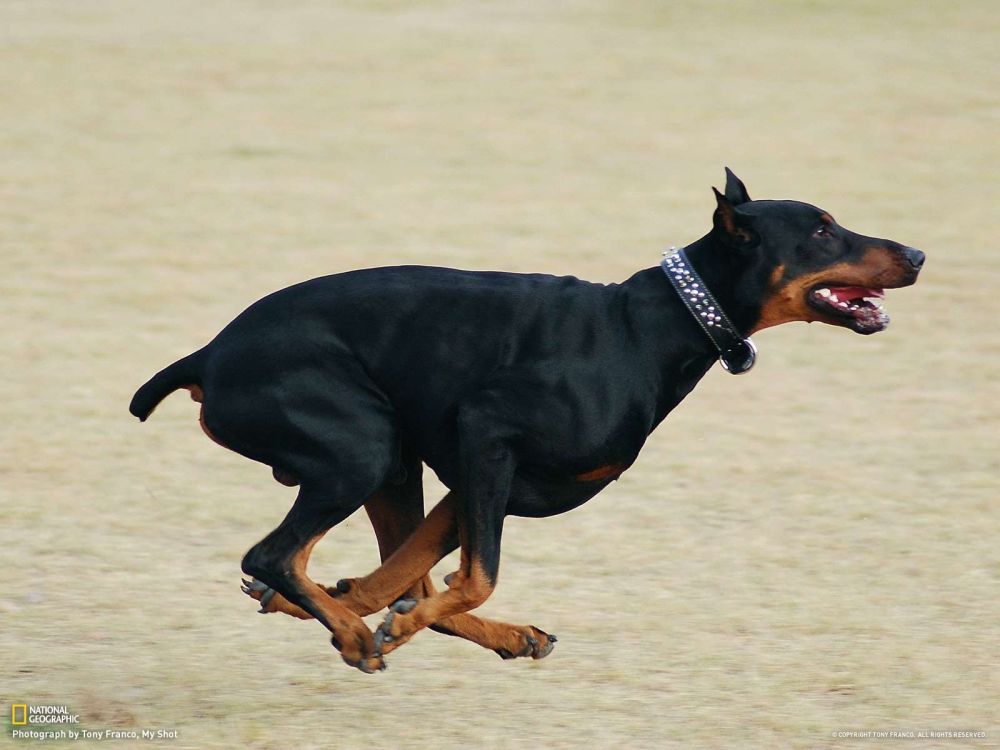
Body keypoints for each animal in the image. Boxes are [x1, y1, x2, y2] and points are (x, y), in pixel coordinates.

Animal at [131, 172, 920, 676]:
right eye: (821, 229)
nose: (917, 252)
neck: (650, 330)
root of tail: (209, 355)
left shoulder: (484, 480)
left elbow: (409, 573)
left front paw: (362, 606)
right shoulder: (487, 436)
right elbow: (473, 575)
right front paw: (377, 623)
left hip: (392, 460)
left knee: (330, 565)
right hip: (363, 447)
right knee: (271, 554)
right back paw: (356, 635)